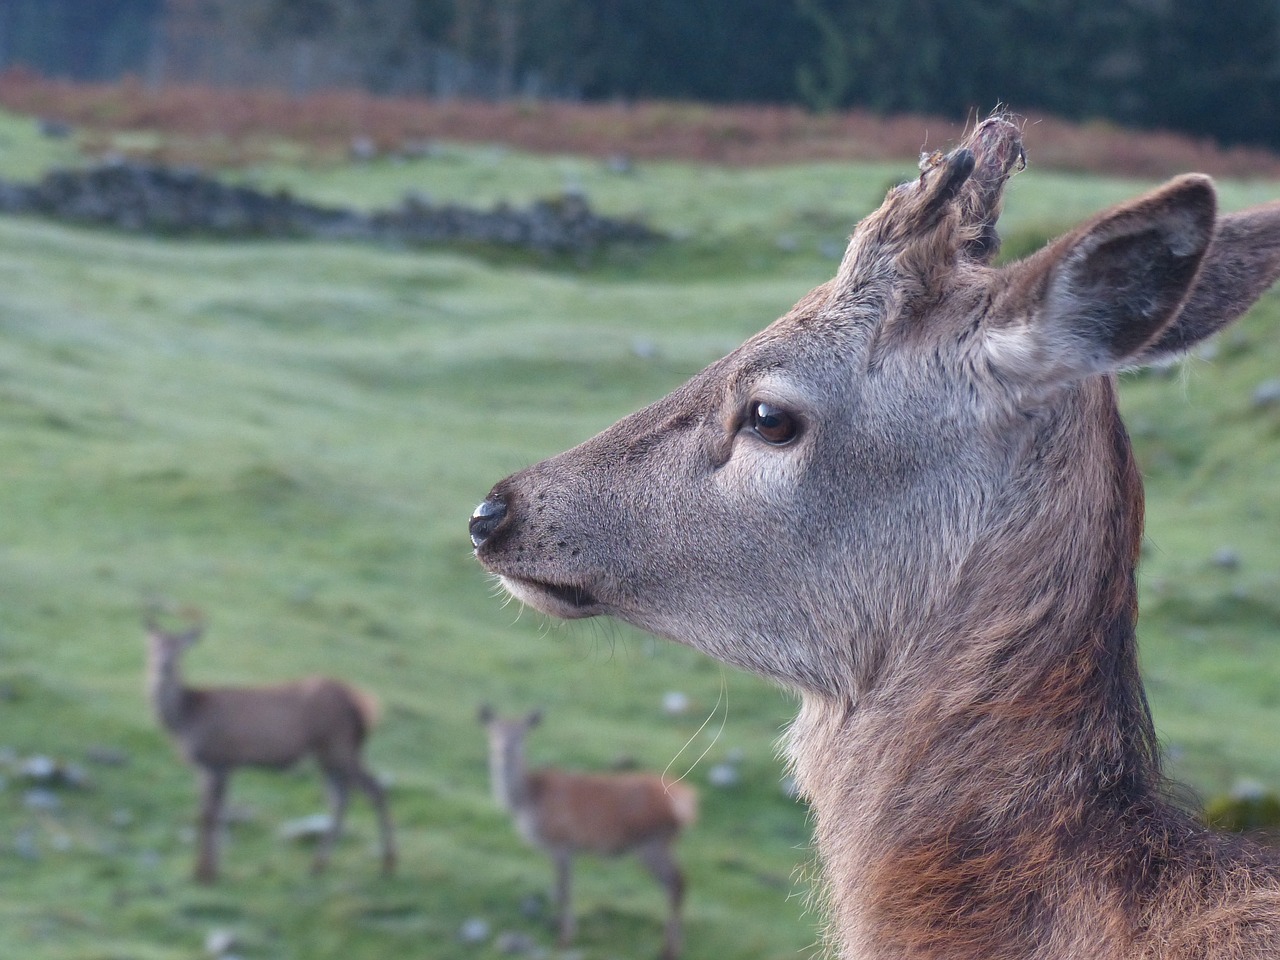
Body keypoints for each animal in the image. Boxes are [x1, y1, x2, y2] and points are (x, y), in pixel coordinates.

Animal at [145, 616, 394, 885]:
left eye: (179, 649)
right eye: (154, 647)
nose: (164, 666)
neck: (187, 719)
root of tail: (361, 706)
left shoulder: (216, 760)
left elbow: (207, 815)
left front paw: (203, 873)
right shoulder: (219, 767)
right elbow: (217, 814)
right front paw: (212, 869)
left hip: (339, 745)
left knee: (374, 789)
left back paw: (388, 863)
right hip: (327, 753)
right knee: (341, 798)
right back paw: (318, 865)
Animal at [481, 706, 701, 960]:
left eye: (521, 734)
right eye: (493, 731)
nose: (504, 750)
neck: (529, 800)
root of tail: (687, 802)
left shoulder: (561, 842)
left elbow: (563, 890)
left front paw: (563, 939)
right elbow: (564, 889)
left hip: (652, 842)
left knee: (677, 883)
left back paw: (669, 949)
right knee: (678, 882)